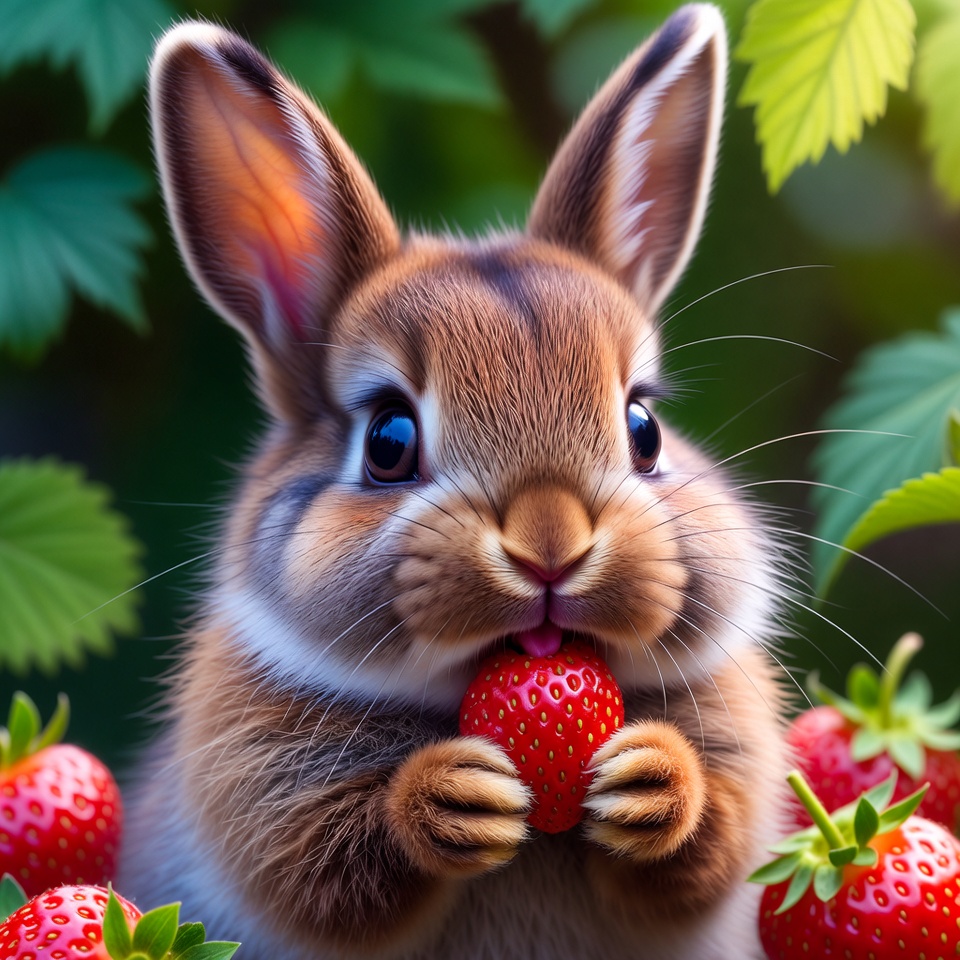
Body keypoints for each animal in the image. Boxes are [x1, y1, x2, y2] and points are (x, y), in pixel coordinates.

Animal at [121, 5, 792, 959]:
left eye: (644, 429)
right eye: (388, 440)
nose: (550, 547)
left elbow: (708, 842)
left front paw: (651, 779)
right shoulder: (263, 792)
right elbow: (328, 868)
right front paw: (453, 797)